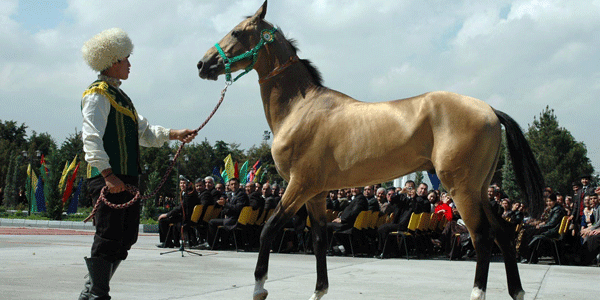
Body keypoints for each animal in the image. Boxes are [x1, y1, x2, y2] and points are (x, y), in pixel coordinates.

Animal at [196, 1, 544, 298]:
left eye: (237, 32)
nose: (202, 64)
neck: (301, 108)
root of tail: (490, 109)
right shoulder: (317, 193)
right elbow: (320, 239)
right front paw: (318, 290)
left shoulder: (298, 185)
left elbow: (268, 229)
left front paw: (260, 287)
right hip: (480, 189)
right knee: (502, 234)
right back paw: (517, 291)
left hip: (461, 188)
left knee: (482, 237)